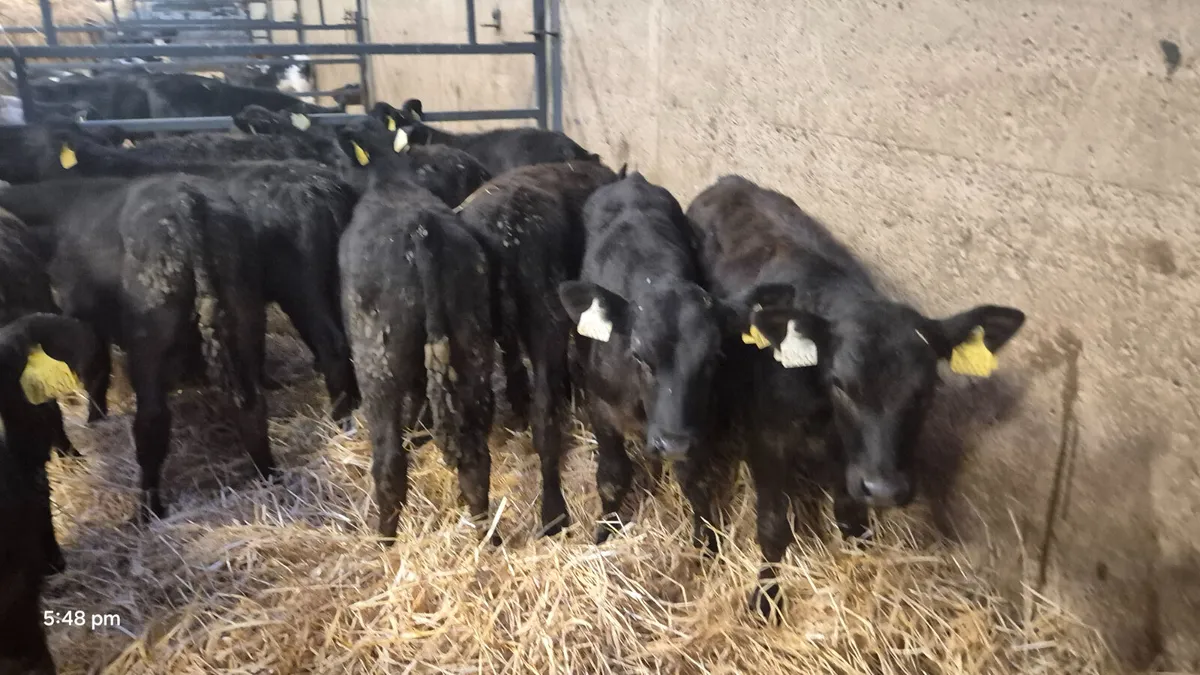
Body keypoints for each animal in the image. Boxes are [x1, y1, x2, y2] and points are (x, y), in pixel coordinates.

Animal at [0, 175, 273, 523]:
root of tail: (186, 200)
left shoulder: (82, 317)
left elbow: (96, 371)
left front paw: (95, 418)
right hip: (246, 319)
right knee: (253, 406)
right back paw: (269, 475)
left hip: (149, 346)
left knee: (151, 422)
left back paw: (147, 510)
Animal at [336, 119, 496, 543]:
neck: (390, 179)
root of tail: (422, 232)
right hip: (472, 347)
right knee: (475, 459)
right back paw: (486, 538)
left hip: (378, 362)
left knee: (389, 462)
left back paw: (385, 539)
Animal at [558, 173, 798, 550]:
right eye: (639, 355)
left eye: (714, 357)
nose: (672, 443)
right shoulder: (600, 406)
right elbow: (612, 476)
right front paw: (604, 532)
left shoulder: (697, 424)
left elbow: (694, 481)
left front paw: (706, 543)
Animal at [686, 175, 1026, 620]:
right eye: (840, 384)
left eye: (927, 389)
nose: (883, 488)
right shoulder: (768, 441)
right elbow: (774, 527)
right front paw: (765, 598)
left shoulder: (851, 461)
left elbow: (852, 520)